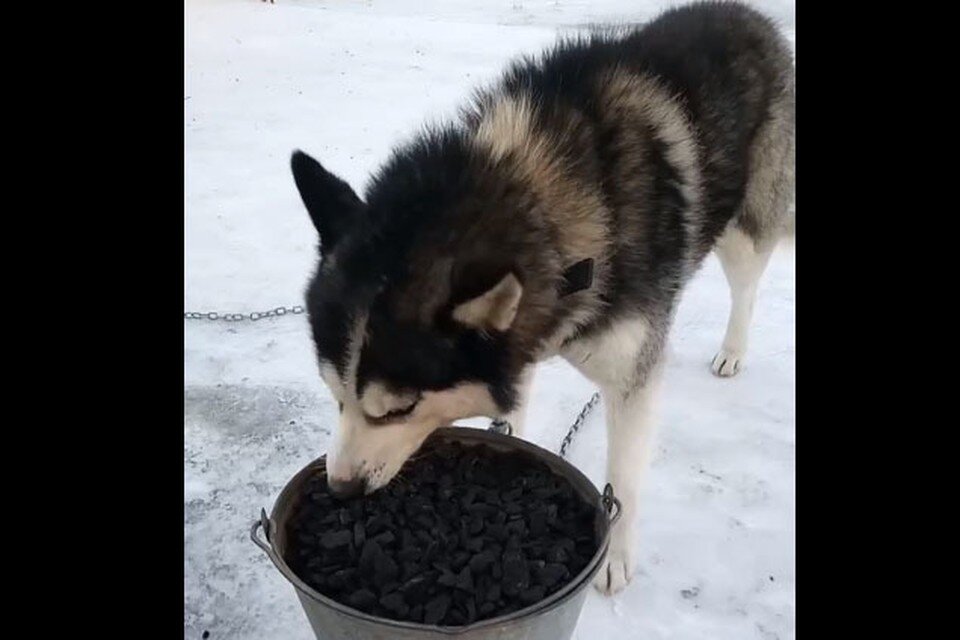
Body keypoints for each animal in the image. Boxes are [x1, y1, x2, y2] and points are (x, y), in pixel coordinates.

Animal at [290, 2, 796, 596]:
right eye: (333, 394)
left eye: (399, 409)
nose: (341, 488)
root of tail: (749, 15)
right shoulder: (521, 347)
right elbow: (510, 420)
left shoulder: (631, 378)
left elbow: (623, 478)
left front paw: (614, 557)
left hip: (744, 231)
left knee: (747, 286)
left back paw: (733, 350)